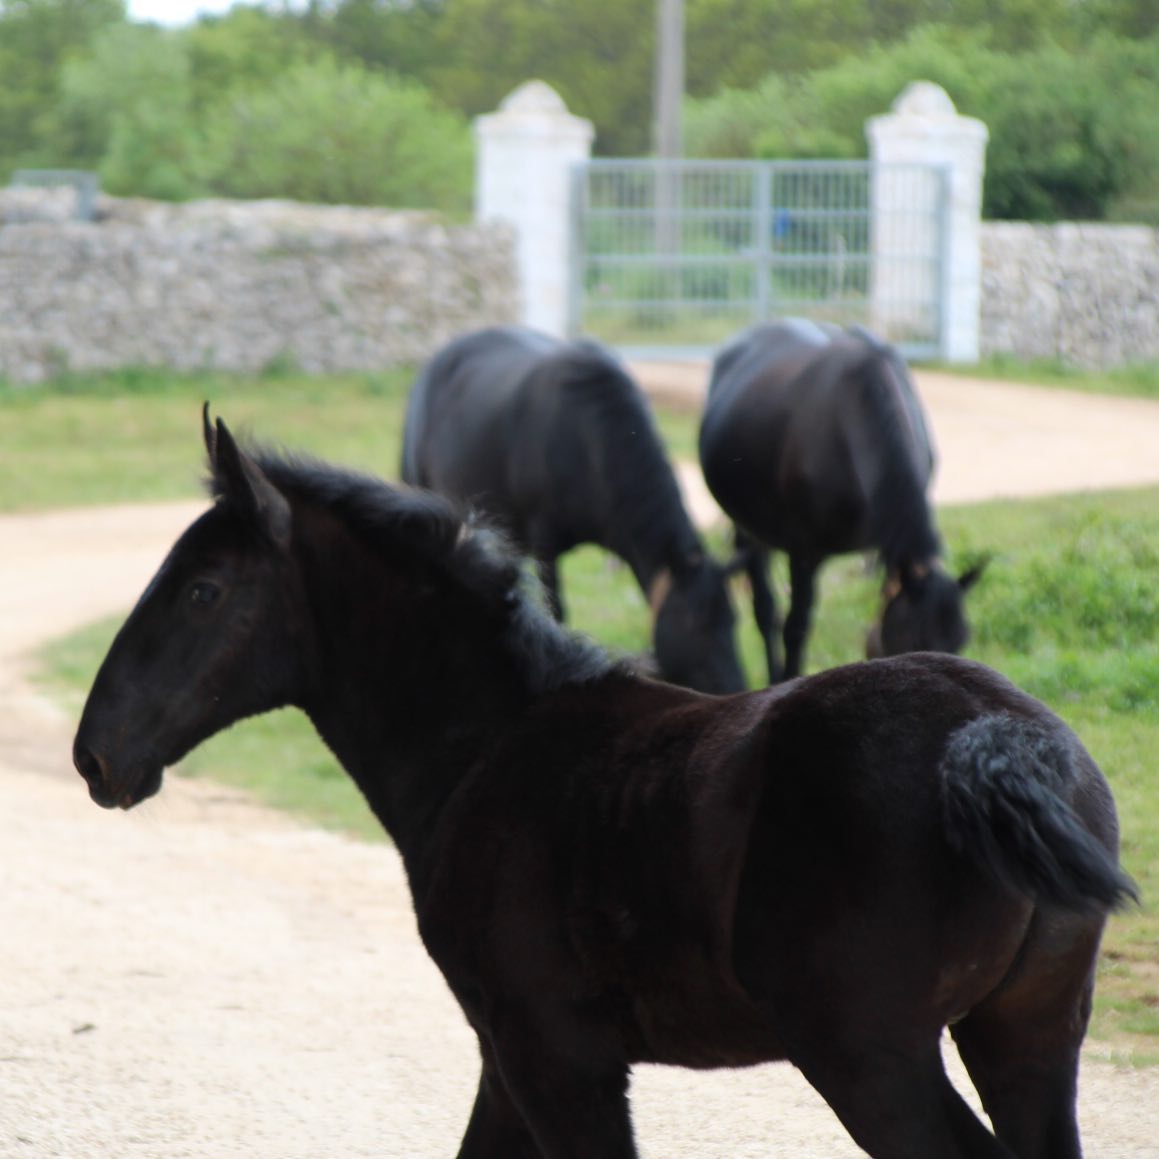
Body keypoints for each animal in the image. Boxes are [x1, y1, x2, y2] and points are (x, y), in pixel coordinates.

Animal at [73, 408, 1135, 1159]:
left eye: (203, 589)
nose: (97, 754)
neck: (488, 748)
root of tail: (999, 737)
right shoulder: (508, 1055)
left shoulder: (553, 1053)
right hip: (1028, 1037)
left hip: (871, 1058)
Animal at [401, 325, 745, 694]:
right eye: (696, 625)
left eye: (734, 621)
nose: (735, 686)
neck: (591, 448)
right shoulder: (545, 544)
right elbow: (557, 614)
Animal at [699, 319, 985, 684]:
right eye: (916, 641)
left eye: (961, 640)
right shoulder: (803, 551)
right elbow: (795, 627)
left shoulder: (886, 545)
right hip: (746, 527)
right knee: (765, 609)